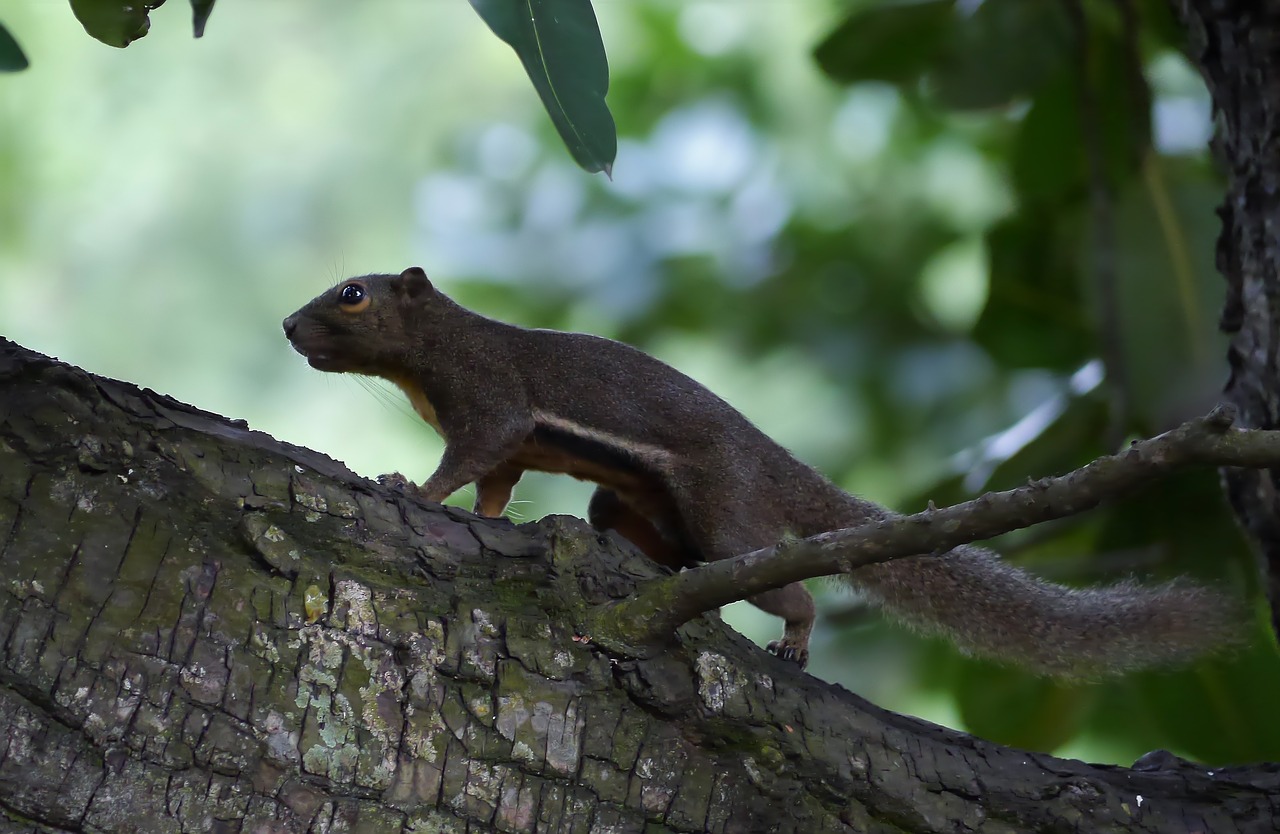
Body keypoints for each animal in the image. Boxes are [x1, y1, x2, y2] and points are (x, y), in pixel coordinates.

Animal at [282, 269, 1249, 675]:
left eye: (353, 296)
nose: (290, 327)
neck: (430, 355)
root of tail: (772, 465)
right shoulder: (510, 445)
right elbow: (494, 488)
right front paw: (484, 521)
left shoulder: (492, 402)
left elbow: (471, 462)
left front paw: (408, 488)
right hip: (631, 507)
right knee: (644, 543)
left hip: (726, 512)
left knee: (781, 583)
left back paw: (794, 635)